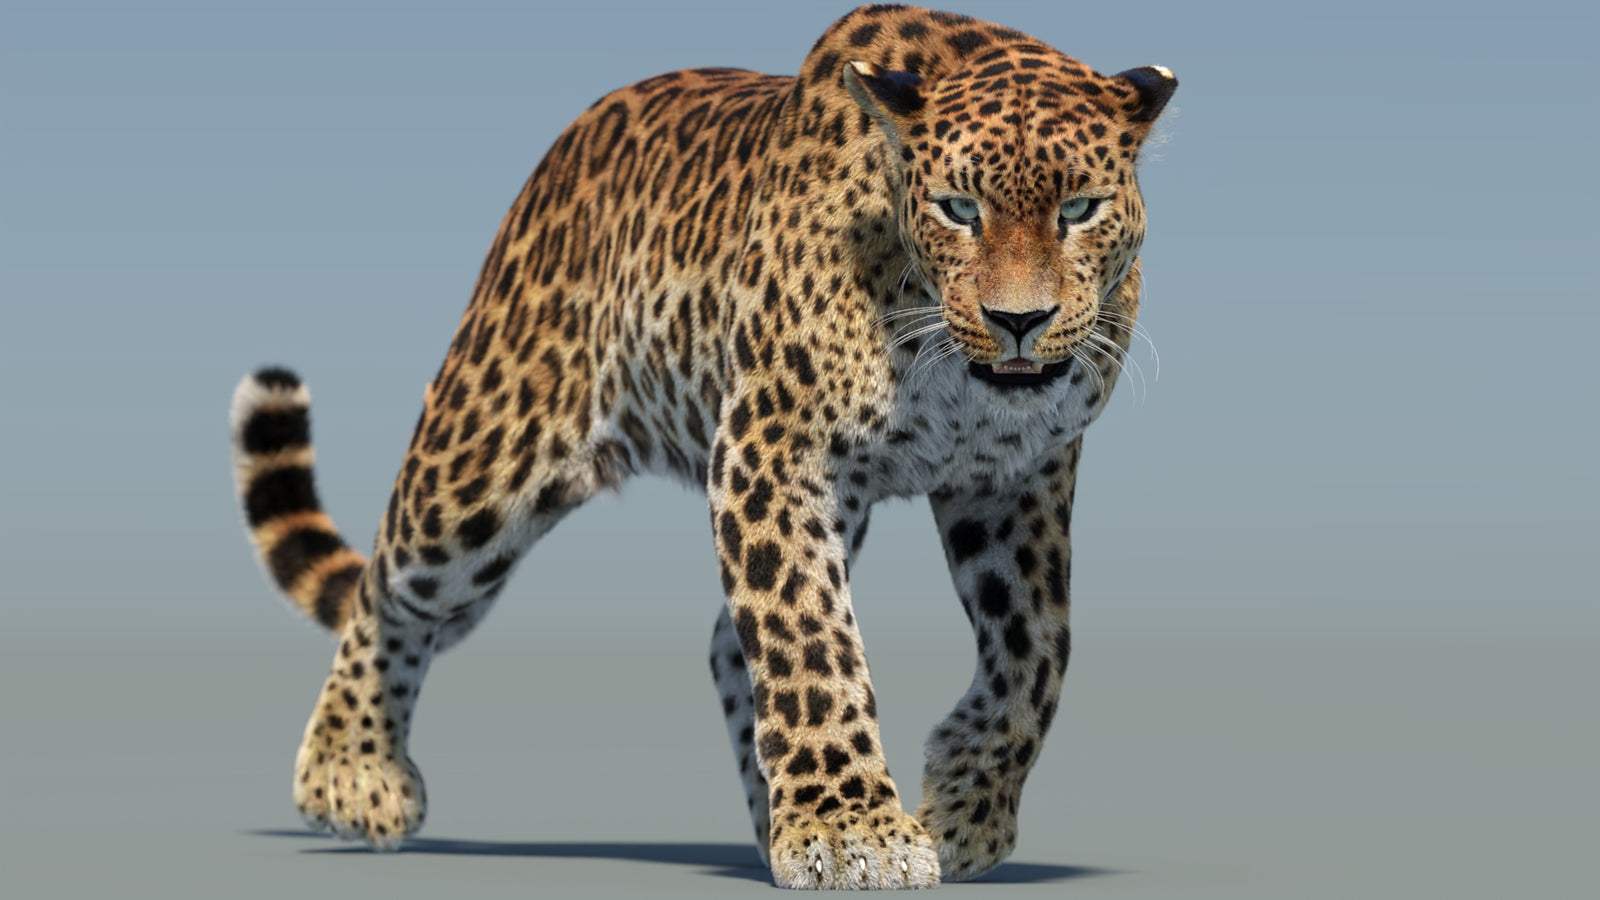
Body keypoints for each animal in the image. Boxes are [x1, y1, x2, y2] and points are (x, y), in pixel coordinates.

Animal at [229, 4, 1175, 889]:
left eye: (1078, 210)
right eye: (959, 209)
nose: (1020, 322)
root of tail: (562, 151)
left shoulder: (1015, 479)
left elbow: (1037, 646)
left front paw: (962, 809)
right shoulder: (773, 447)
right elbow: (807, 634)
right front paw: (851, 831)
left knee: (726, 640)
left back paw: (767, 822)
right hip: (485, 460)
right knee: (389, 583)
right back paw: (350, 773)